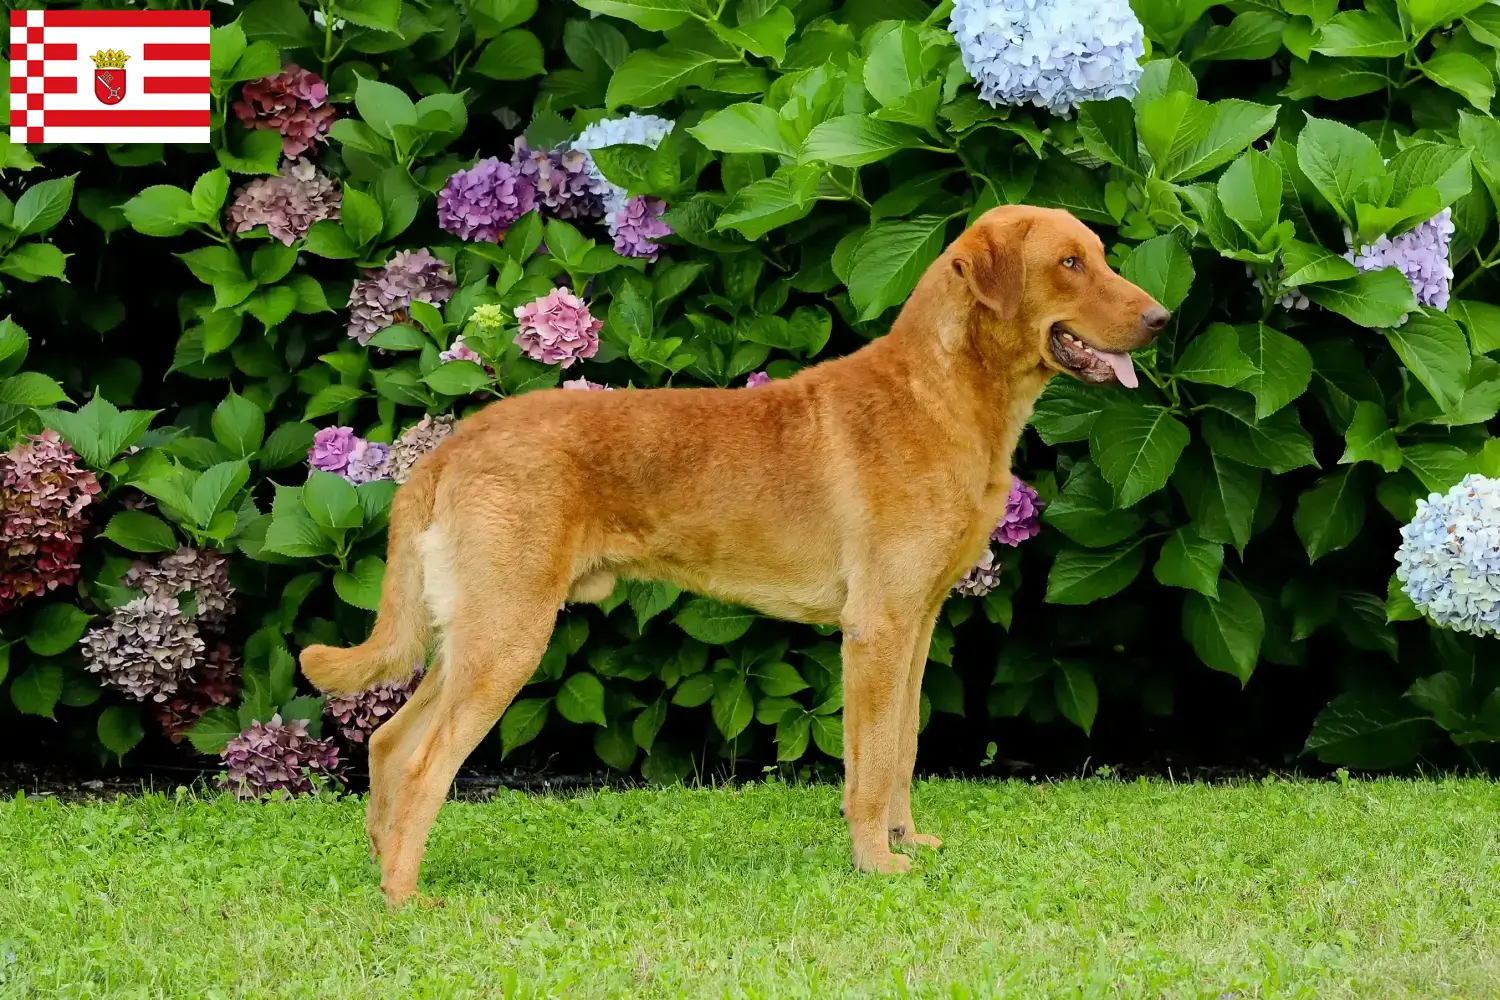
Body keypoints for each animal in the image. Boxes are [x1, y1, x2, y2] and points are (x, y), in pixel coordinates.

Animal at [298, 205, 1164, 905]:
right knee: (424, 763)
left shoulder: (916, 625)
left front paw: (907, 841)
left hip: (472, 634)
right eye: (1069, 262)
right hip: (507, 636)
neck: (941, 396)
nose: (1160, 318)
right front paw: (877, 863)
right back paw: (405, 897)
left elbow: (904, 747)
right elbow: (870, 764)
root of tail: (449, 449)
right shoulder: (876, 629)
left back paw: (383, 865)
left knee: (388, 741)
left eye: (1098, 254)